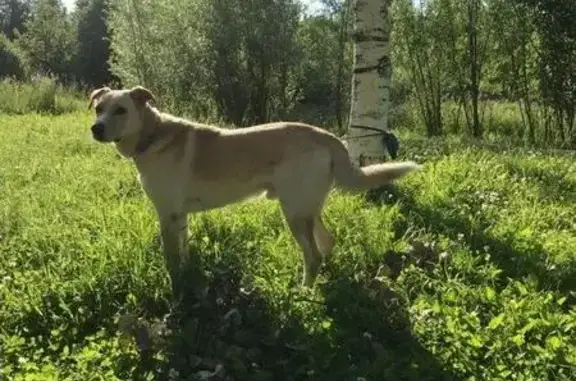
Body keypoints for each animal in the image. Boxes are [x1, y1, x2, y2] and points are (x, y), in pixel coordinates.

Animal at [86, 85, 418, 294]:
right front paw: (187, 275)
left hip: (294, 214)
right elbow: (183, 252)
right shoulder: (179, 217)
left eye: (120, 110)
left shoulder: (167, 215)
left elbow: (172, 259)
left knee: (313, 255)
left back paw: (304, 294)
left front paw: (175, 287)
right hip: (308, 209)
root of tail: (327, 136)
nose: (96, 128)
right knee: (327, 243)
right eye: (99, 108)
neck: (151, 135)